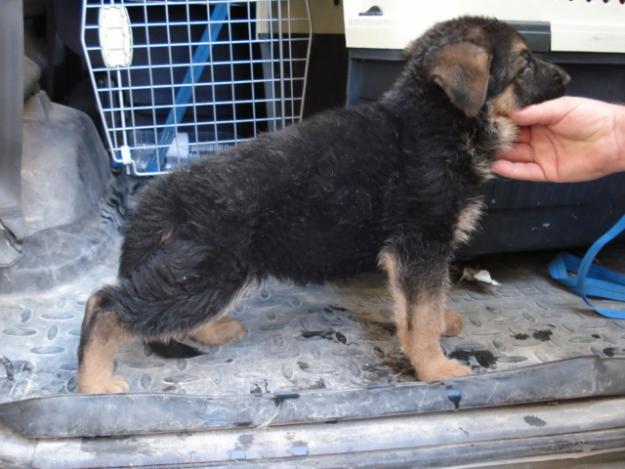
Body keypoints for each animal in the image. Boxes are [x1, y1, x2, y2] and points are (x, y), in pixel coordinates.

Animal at [77, 16, 564, 394]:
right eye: (525, 62)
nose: (566, 79)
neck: (437, 121)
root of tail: (163, 195)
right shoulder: (420, 243)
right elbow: (420, 313)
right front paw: (435, 366)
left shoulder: (420, 251)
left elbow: (421, 304)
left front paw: (439, 325)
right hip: (206, 270)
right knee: (106, 304)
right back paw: (94, 383)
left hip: (204, 275)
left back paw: (212, 331)